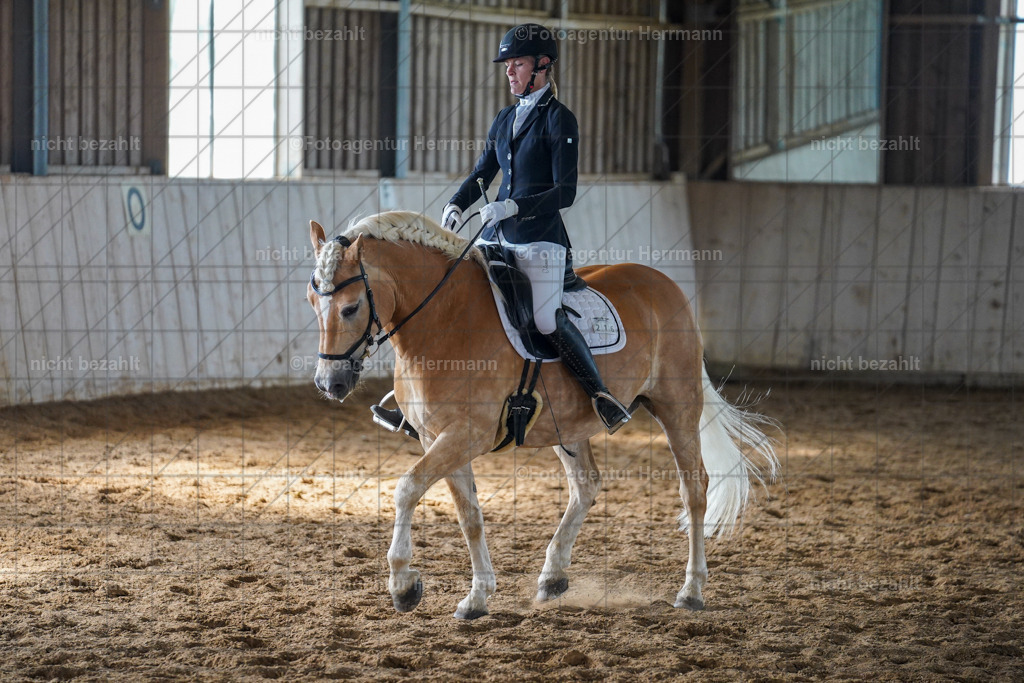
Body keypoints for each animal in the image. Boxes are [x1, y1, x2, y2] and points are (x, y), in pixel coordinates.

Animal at [306, 210, 778, 619]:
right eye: (312, 302)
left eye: (350, 308)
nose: (330, 384)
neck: (444, 319)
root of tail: (664, 282)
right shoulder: (436, 437)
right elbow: (469, 515)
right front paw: (477, 597)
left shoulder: (465, 435)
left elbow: (406, 488)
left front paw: (403, 585)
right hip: (567, 425)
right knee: (586, 485)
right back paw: (553, 577)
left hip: (676, 406)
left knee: (694, 488)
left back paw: (691, 590)